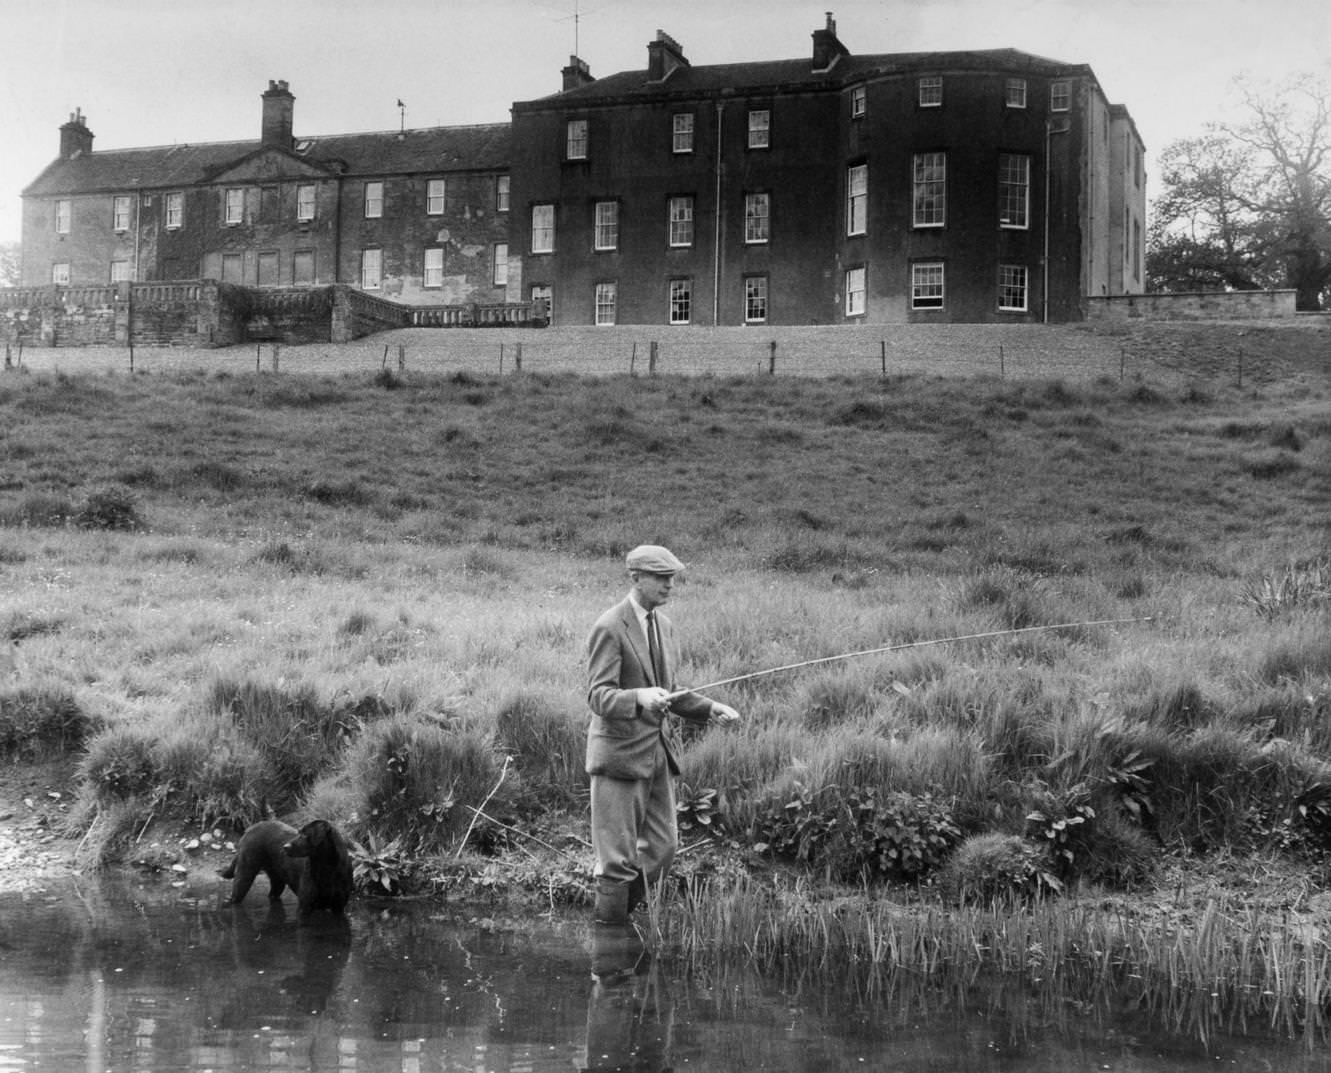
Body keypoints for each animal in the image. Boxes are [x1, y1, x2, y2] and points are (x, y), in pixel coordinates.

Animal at [219, 820, 354, 921]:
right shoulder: (304, 907)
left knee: (272, 895)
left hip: (277, 882)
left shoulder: (339, 907)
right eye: (299, 832)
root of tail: (250, 828)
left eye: (304, 835)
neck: (327, 869)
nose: (285, 847)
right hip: (245, 874)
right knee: (235, 897)